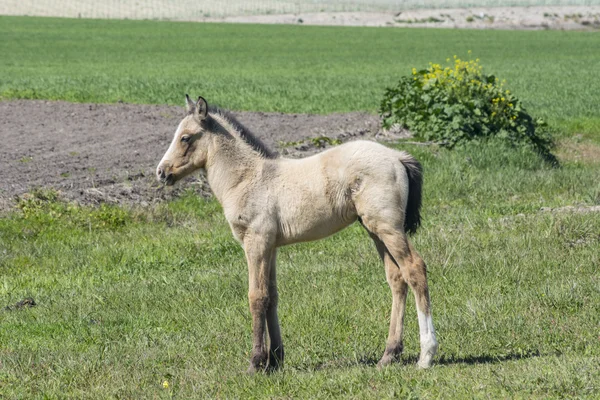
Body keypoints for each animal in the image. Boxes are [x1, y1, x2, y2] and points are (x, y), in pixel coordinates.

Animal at [156, 96, 436, 372]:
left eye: (185, 137)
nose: (161, 172)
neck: (248, 178)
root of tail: (397, 156)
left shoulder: (256, 243)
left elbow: (257, 297)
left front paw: (256, 363)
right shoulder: (271, 247)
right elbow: (272, 296)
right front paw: (275, 360)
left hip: (388, 227)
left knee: (414, 268)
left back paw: (426, 356)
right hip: (374, 230)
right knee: (396, 278)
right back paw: (389, 354)